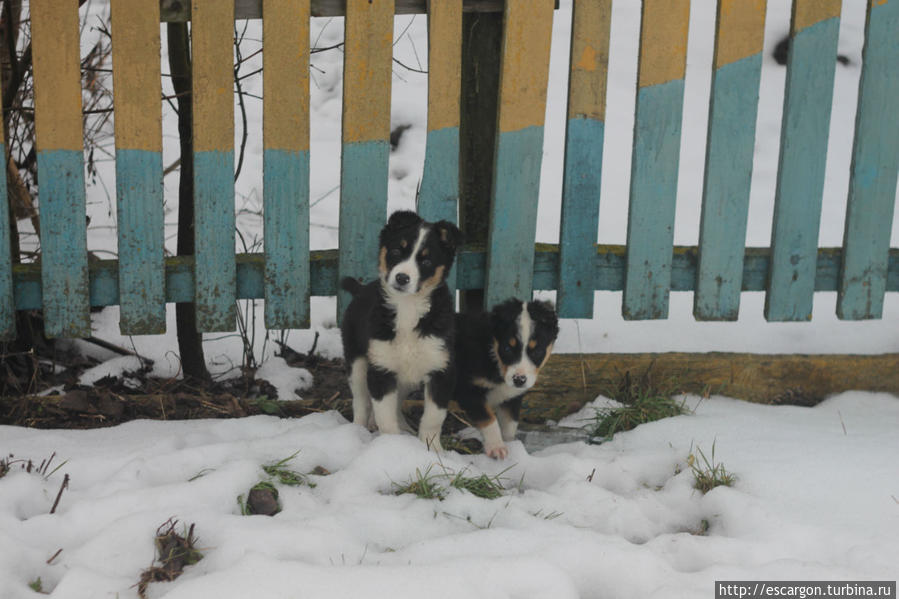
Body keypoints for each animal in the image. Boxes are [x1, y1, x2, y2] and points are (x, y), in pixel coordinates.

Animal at [340, 211, 460, 450]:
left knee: (395, 404)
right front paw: (393, 446)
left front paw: (433, 450)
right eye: (396, 251)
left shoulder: (441, 369)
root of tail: (361, 289)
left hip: (405, 376)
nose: (402, 278)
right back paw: (358, 429)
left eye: (426, 261)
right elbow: (384, 416)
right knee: (361, 400)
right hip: (356, 361)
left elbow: (433, 417)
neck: (408, 306)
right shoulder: (381, 369)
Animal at [454, 300, 560, 460]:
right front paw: (497, 448)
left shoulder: (512, 398)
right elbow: (489, 419)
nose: (519, 380)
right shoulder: (468, 390)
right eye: (507, 349)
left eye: (537, 351)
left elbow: (510, 425)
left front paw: (511, 446)